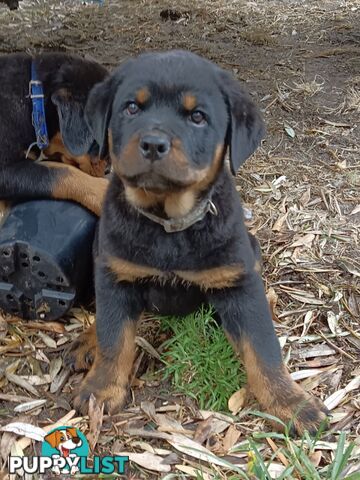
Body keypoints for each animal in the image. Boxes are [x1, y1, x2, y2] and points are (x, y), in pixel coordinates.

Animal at [67, 50, 330, 434]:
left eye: (197, 117)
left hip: (249, 251)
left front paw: (292, 403)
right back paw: (88, 341)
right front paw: (101, 391)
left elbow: (264, 348)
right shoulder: (116, 275)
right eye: (131, 107)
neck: (169, 225)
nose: (153, 143)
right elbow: (114, 338)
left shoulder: (237, 284)